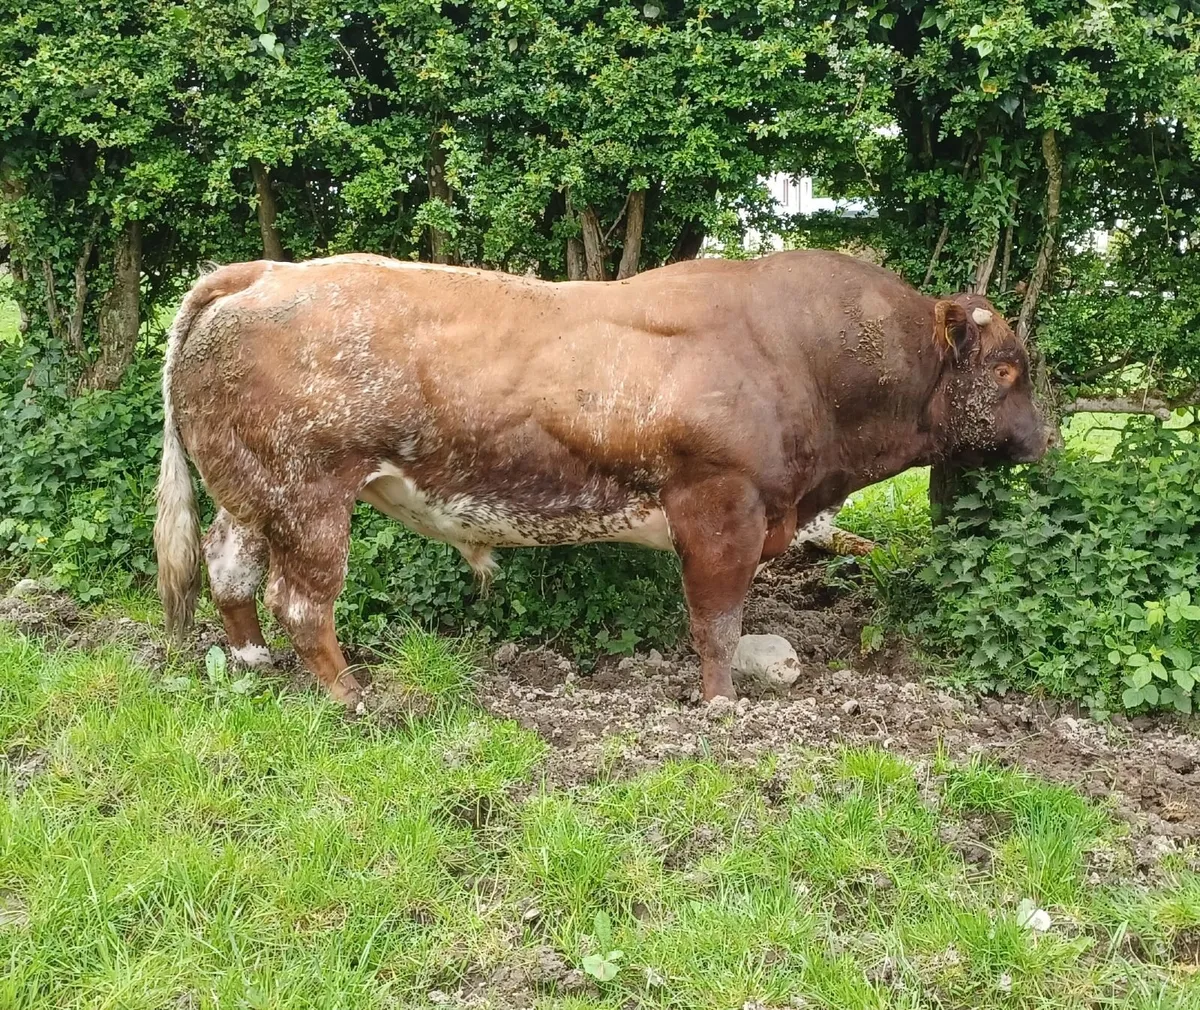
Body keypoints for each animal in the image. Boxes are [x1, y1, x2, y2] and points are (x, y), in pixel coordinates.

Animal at [154, 250, 1048, 707]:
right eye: (1007, 369)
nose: (1045, 441)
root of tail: (263, 271)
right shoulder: (719, 504)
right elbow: (717, 621)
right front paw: (719, 702)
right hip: (308, 496)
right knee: (301, 602)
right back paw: (353, 698)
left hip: (251, 491)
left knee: (231, 568)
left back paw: (251, 662)